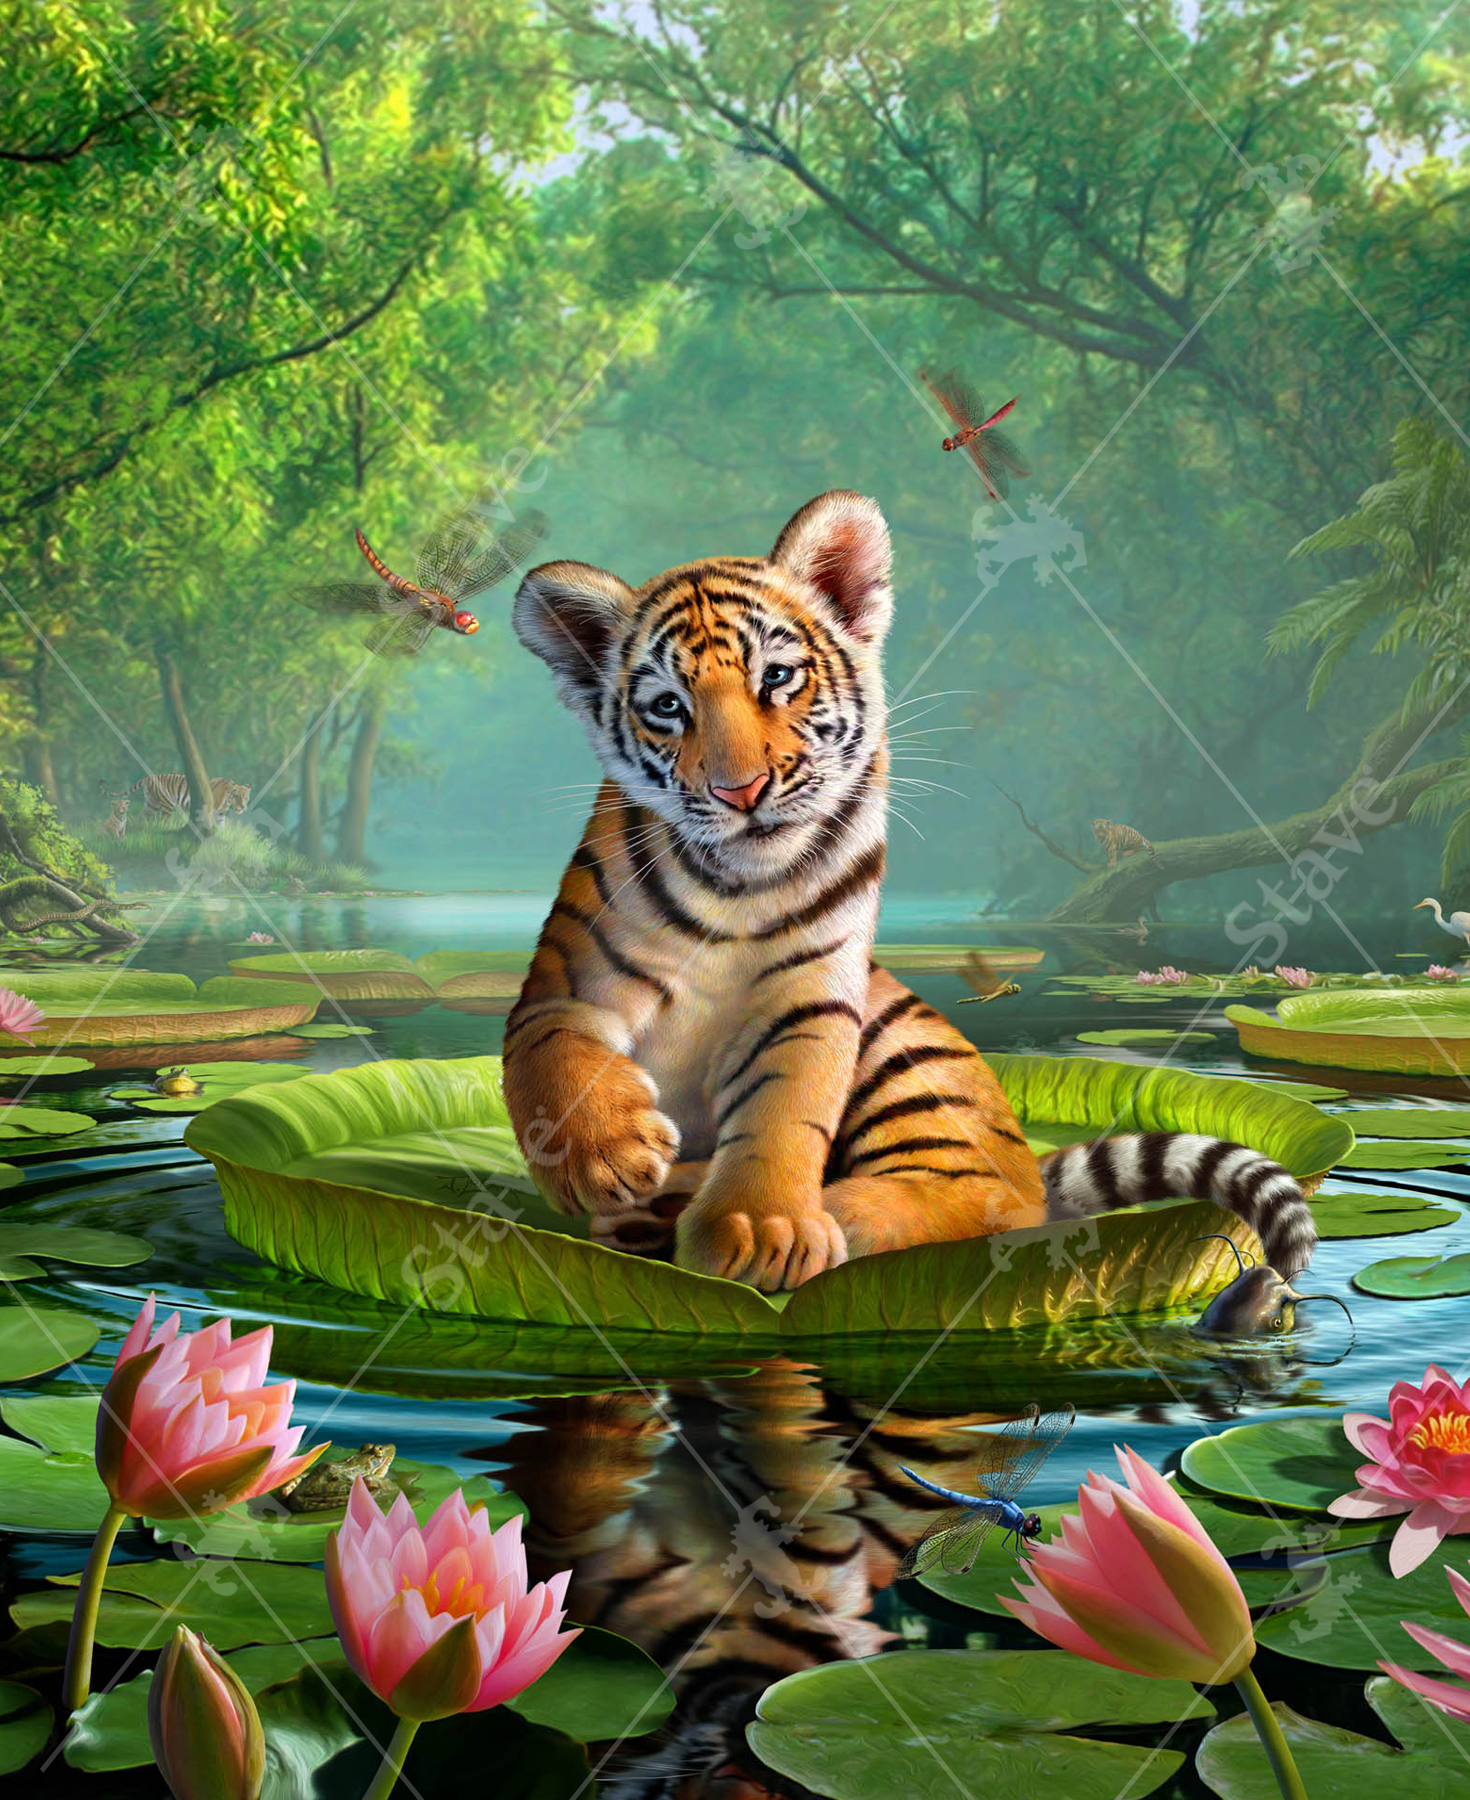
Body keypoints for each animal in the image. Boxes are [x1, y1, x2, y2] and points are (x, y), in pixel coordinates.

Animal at [504, 490, 1315, 1290]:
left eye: (777, 678)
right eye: (669, 706)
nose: (743, 791)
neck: (737, 889)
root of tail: (1033, 1161)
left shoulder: (813, 998)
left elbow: (784, 1110)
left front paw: (762, 1230)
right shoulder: (561, 986)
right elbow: (552, 1057)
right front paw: (605, 1159)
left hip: (912, 1058)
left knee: (986, 1199)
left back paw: (808, 1214)